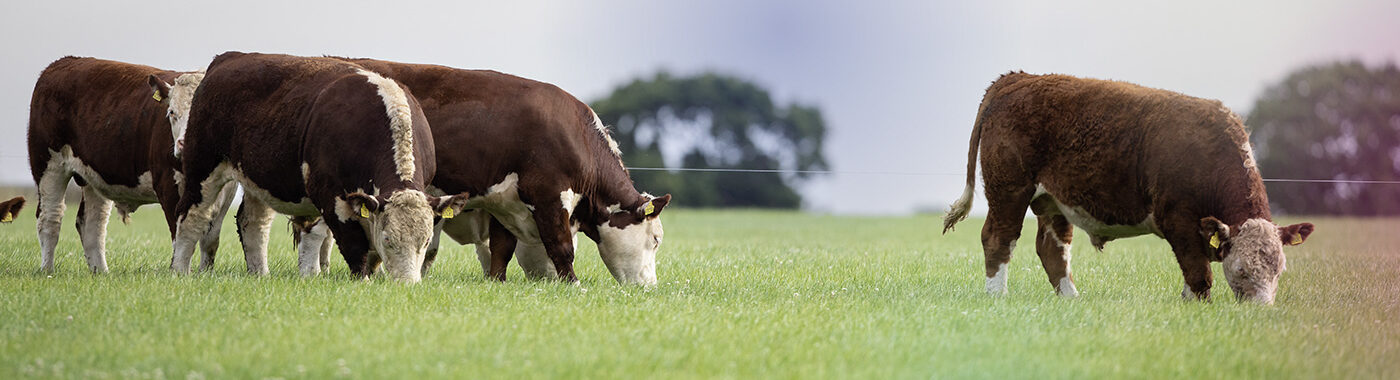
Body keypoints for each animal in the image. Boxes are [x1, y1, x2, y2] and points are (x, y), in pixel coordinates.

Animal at [25, 57, 233, 274]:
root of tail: (61, 63)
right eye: (172, 112)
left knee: (92, 224)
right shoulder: (167, 184)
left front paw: (205, 273)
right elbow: (179, 233)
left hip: (94, 176)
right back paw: (47, 271)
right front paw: (179, 271)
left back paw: (101, 272)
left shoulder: (227, 190)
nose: (185, 143)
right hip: (49, 165)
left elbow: (210, 239)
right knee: (50, 218)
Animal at [168, 52, 464, 283]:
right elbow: (350, 244)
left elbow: (316, 235)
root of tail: (227, 59)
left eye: (425, 241)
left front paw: (310, 275)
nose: (407, 283)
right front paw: (362, 280)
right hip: (202, 166)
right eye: (389, 239)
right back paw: (179, 270)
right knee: (189, 217)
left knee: (252, 223)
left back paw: (260, 274)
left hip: (256, 180)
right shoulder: (330, 194)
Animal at [336, 58, 669, 286]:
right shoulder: (549, 196)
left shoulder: (504, 203)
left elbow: (501, 248)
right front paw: (572, 284)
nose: (650, 286)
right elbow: (561, 246)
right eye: (655, 239)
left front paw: (497, 282)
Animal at [940, 71, 1310, 305]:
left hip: (1052, 201)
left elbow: (1197, 267)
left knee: (1052, 249)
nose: (1260, 311)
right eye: (1242, 269)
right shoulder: (1179, 220)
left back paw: (1071, 299)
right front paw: (1197, 308)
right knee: (999, 238)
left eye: (1279, 270)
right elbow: (1198, 272)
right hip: (1009, 190)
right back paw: (997, 296)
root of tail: (1017, 78)